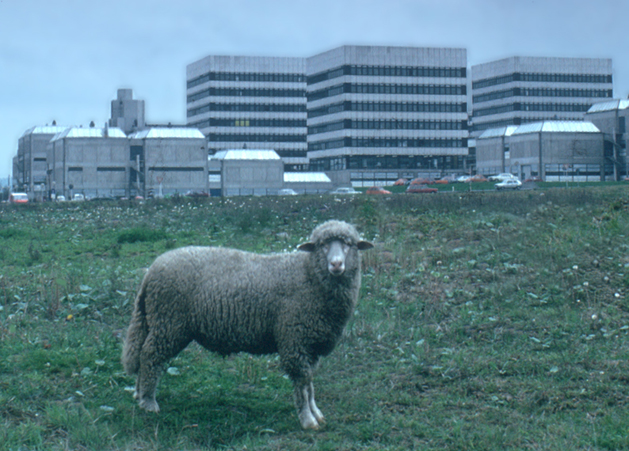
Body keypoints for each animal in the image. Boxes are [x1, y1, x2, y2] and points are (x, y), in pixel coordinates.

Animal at [122, 220, 372, 430]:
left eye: (349, 244)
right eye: (322, 245)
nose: (336, 264)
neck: (308, 275)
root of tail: (151, 271)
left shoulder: (311, 345)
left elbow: (309, 384)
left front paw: (316, 413)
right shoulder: (294, 340)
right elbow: (302, 383)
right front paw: (307, 420)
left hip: (157, 321)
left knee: (143, 354)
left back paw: (138, 393)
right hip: (169, 323)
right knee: (150, 355)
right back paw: (148, 401)